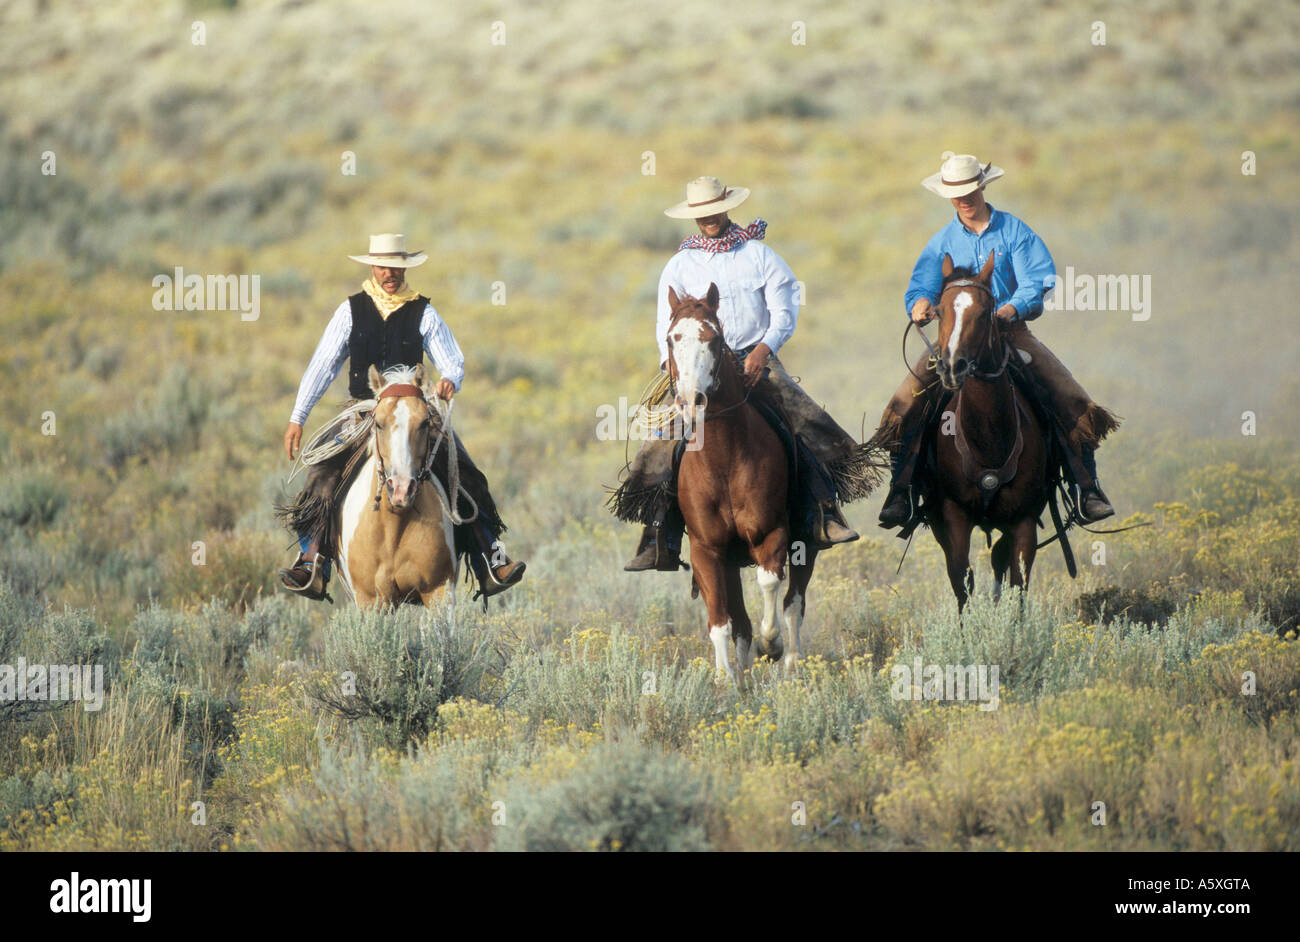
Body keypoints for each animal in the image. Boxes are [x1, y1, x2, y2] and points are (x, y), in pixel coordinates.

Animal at [338, 361, 460, 610]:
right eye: (378, 423)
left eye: (425, 422)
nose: (402, 489)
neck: (394, 523)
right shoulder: (370, 599)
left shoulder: (439, 590)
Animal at [665, 283, 816, 680]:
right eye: (672, 339)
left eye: (714, 339)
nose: (692, 401)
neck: (724, 461)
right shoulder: (706, 550)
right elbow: (721, 620)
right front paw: (724, 678)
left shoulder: (772, 533)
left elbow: (769, 582)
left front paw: (771, 645)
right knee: (741, 620)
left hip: (807, 543)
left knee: (794, 602)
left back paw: (789, 659)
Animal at [920, 249, 1050, 605]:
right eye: (938, 311)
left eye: (983, 313)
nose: (953, 366)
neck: (989, 438)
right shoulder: (954, 516)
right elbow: (962, 581)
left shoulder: (1024, 519)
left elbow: (1019, 584)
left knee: (999, 560)